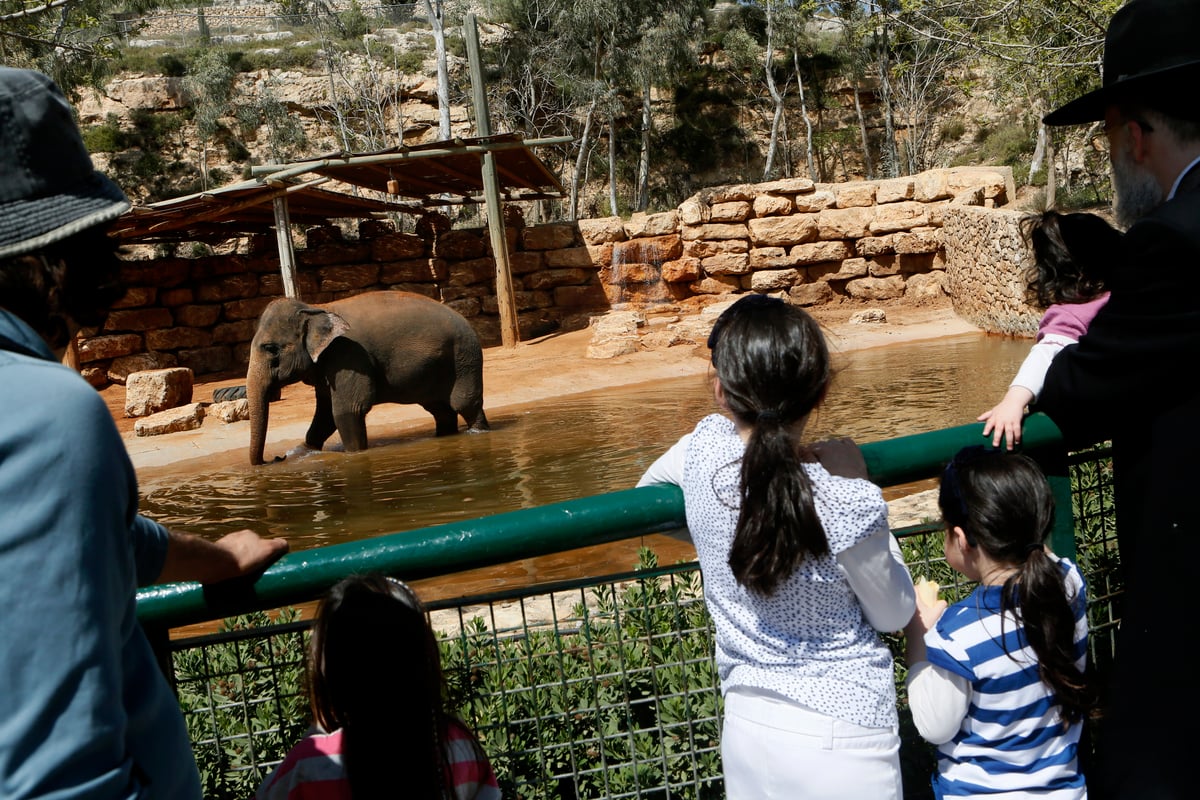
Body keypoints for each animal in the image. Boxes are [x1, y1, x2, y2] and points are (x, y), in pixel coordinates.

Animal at [246, 291, 489, 465]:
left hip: (464, 358)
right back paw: (445, 437)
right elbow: (325, 414)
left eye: (270, 348)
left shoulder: (349, 356)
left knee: (465, 404)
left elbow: (347, 410)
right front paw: (301, 452)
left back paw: (477, 434)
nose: (276, 458)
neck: (316, 309)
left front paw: (354, 455)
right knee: (441, 410)